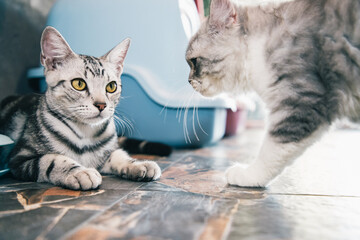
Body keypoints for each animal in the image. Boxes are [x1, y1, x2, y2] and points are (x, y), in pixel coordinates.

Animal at [0, 26, 160, 190]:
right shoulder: (20, 157)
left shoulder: (106, 153)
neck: (85, 133)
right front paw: (79, 172)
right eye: (79, 84)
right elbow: (51, 159)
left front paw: (138, 164)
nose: (101, 104)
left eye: (111, 86)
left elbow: (118, 154)